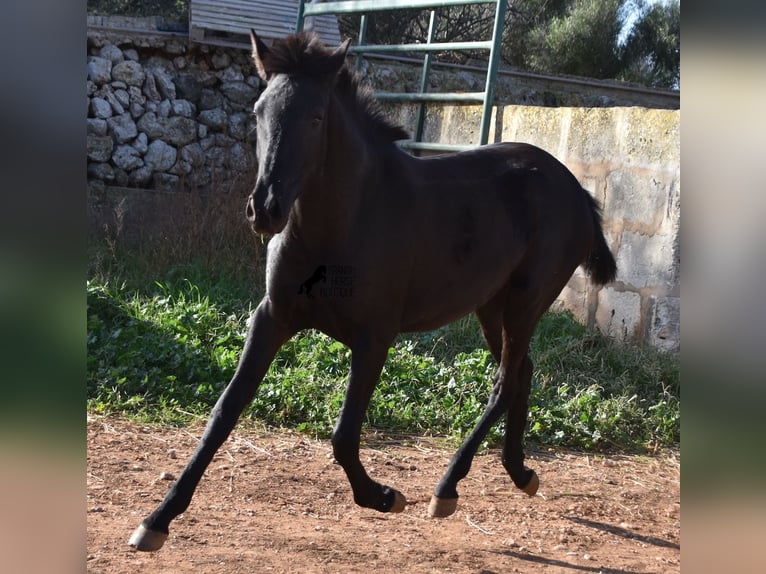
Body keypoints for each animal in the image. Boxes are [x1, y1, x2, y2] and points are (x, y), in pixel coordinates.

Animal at [129, 31, 620, 552]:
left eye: (316, 116)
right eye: (259, 110)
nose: (264, 209)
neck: (342, 224)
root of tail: (575, 189)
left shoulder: (374, 336)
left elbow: (344, 435)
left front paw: (383, 496)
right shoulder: (272, 317)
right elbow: (223, 413)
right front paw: (156, 520)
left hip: (527, 300)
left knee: (506, 380)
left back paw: (447, 488)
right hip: (493, 305)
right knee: (522, 371)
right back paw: (519, 472)